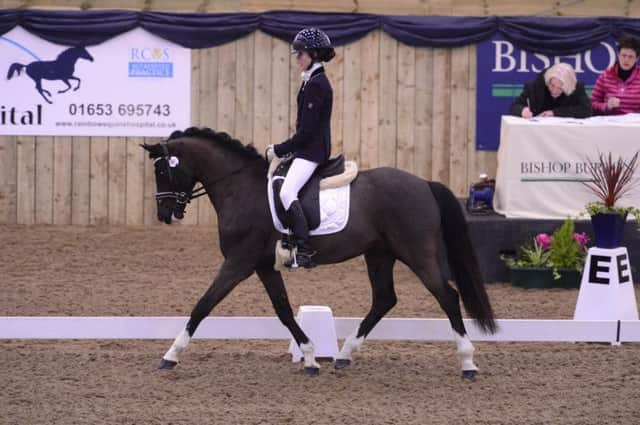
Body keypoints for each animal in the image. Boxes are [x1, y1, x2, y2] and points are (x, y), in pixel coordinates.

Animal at [142, 127, 498, 380]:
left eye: (162, 172)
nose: (164, 214)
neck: (239, 188)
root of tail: (424, 183)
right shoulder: (263, 266)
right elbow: (284, 311)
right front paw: (311, 358)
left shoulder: (239, 262)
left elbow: (203, 305)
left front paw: (171, 355)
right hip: (379, 254)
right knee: (384, 299)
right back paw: (344, 355)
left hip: (417, 252)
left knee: (447, 297)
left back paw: (468, 363)